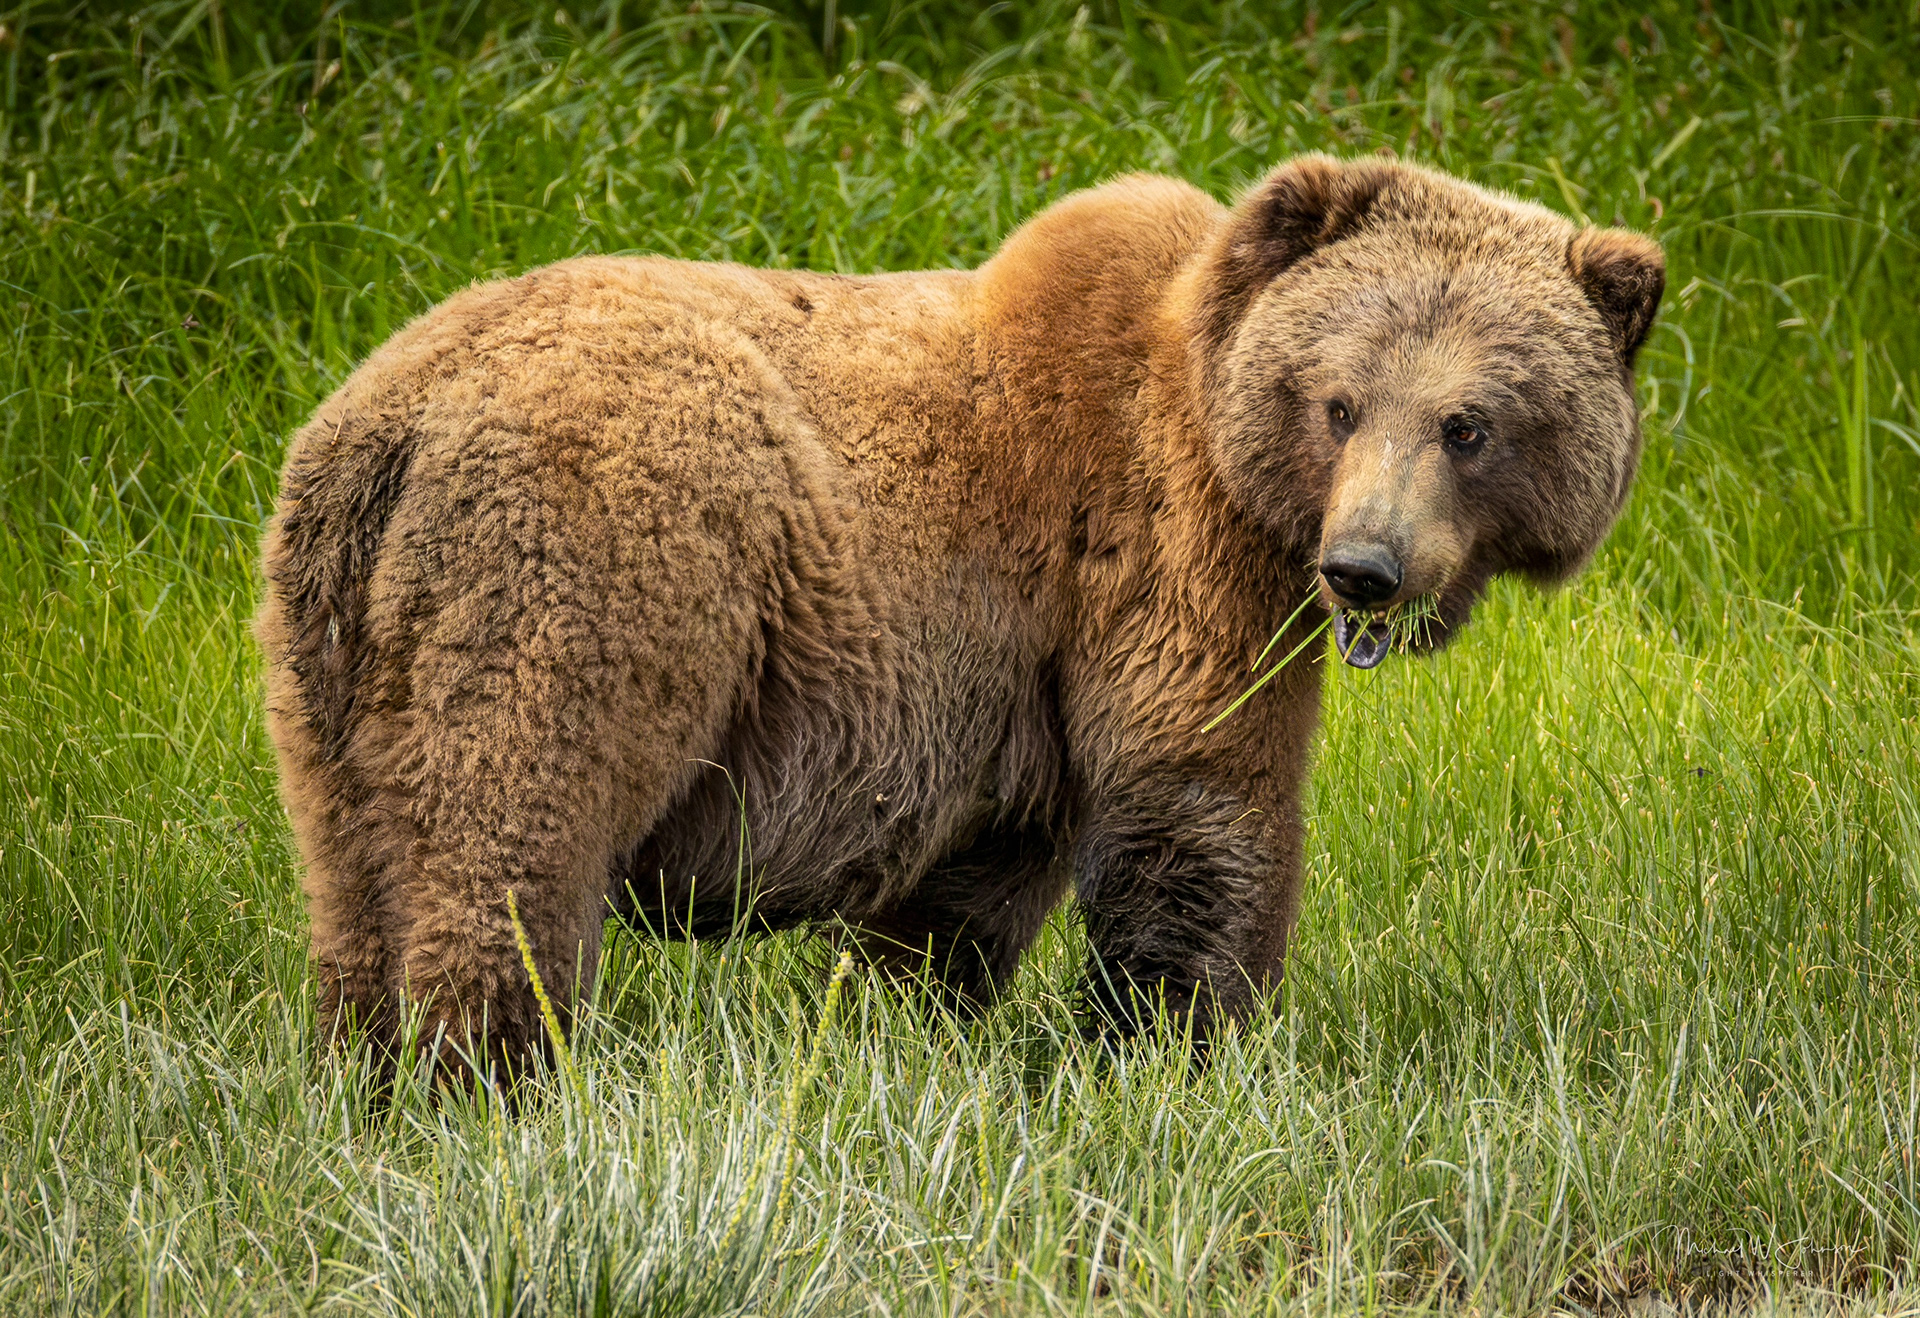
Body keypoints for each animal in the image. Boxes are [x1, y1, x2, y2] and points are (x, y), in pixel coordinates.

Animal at [257, 154, 1663, 1079]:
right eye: (1341, 400)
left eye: (1471, 423)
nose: (1367, 567)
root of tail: (399, 419)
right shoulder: (1156, 544)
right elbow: (1201, 799)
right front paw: (1187, 1041)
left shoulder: (1011, 674)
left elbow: (970, 881)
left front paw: (903, 1027)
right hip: (595, 551)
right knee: (516, 821)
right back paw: (490, 1071)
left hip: (324, 625)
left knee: (352, 859)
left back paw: (361, 1066)